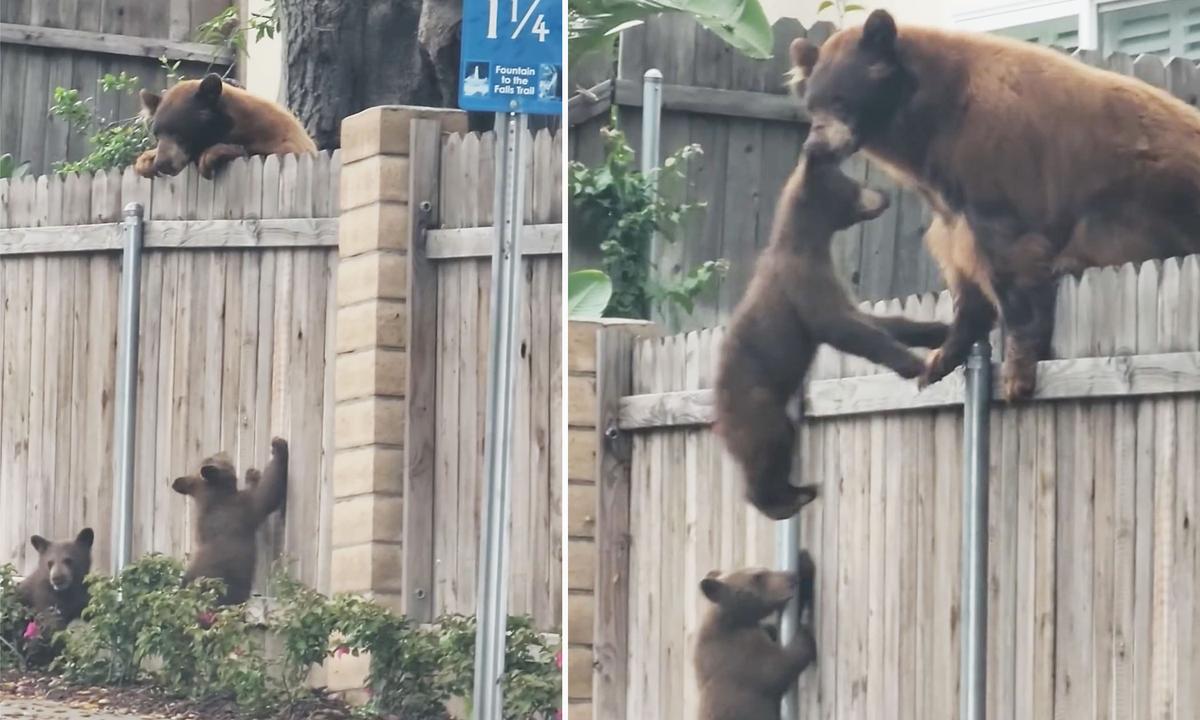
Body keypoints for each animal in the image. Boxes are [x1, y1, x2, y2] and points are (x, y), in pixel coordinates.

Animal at [135, 73, 316, 179]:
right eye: (157, 134)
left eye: (180, 133)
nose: (162, 164)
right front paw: (145, 161)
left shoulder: (281, 137)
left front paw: (209, 157)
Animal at [172, 437, 288, 605]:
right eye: (213, 457)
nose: (222, 450)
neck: (214, 497)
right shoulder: (244, 507)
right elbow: (268, 492)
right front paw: (278, 446)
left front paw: (251, 474)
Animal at [694, 551, 818, 720]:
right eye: (758, 576)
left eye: (765, 570)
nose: (791, 577)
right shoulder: (738, 655)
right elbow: (777, 667)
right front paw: (806, 634)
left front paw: (804, 563)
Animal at [714, 155, 948, 520]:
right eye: (852, 184)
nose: (884, 195)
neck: (810, 242)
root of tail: (719, 415)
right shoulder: (802, 280)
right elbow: (839, 326)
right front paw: (912, 362)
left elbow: (873, 319)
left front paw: (938, 329)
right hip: (755, 404)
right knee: (769, 447)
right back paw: (781, 501)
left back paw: (799, 490)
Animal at [789, 10, 1200, 399]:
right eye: (811, 104)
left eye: (841, 99)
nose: (815, 146)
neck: (933, 117)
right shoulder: (947, 198)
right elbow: (962, 261)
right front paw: (942, 357)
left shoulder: (992, 157)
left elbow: (1009, 256)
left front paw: (1018, 370)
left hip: (1149, 189)